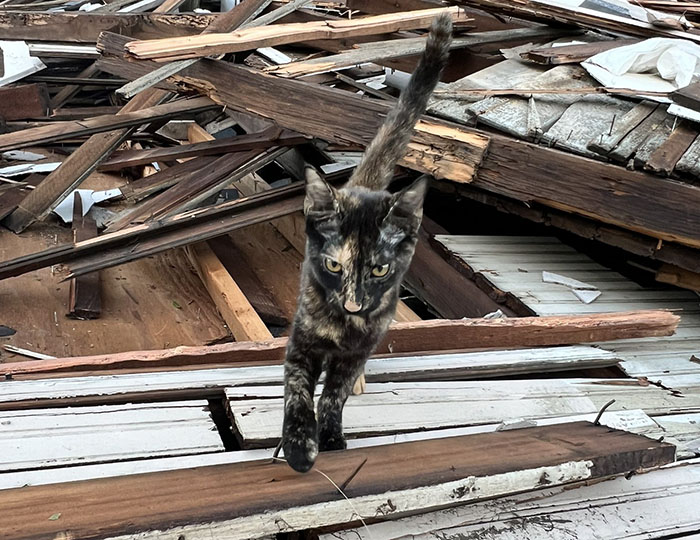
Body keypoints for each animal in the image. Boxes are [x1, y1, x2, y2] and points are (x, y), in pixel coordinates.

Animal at [280, 13, 452, 472]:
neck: (345, 327)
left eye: (379, 268)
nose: (355, 303)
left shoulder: (358, 350)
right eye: (333, 265)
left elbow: (333, 396)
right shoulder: (302, 342)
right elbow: (297, 390)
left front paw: (331, 436)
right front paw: (300, 445)